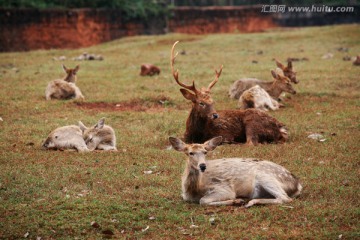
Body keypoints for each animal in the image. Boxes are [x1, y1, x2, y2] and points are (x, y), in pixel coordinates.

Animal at [169, 136, 300, 207]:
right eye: (190, 153)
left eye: (205, 152)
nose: (202, 166)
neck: (193, 190)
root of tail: (298, 185)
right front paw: (237, 201)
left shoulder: (223, 188)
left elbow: (203, 200)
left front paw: (236, 200)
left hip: (265, 176)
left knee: (285, 198)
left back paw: (250, 202)